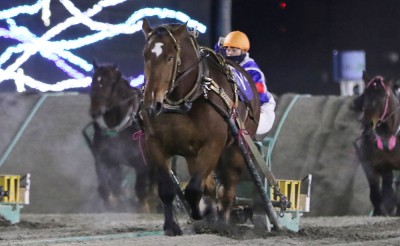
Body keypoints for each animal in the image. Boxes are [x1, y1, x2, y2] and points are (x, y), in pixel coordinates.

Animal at [86, 62, 155, 212]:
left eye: (112, 83)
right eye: (93, 82)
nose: (95, 112)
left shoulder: (142, 164)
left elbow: (140, 190)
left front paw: (144, 207)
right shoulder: (103, 160)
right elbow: (105, 187)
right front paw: (113, 202)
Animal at [140, 18, 260, 235]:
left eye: (170, 58)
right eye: (145, 56)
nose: (151, 104)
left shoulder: (213, 144)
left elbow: (194, 190)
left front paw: (203, 212)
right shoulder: (154, 143)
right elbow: (167, 189)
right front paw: (171, 226)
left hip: (237, 146)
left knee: (227, 188)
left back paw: (222, 221)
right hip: (192, 154)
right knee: (211, 186)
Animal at [358, 71, 400, 215]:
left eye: (383, 96)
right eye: (365, 93)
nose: (367, 123)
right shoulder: (370, 165)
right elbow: (376, 192)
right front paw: (379, 211)